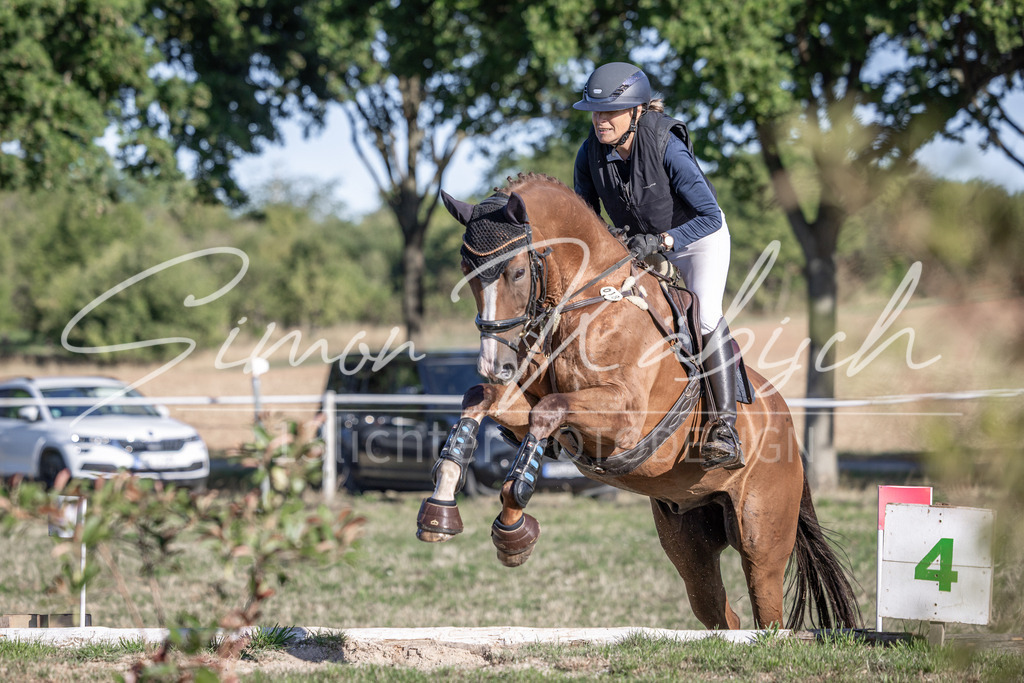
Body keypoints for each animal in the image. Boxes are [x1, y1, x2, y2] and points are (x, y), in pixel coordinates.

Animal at [416, 172, 860, 630]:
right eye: (467, 272)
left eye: (518, 272)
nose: (496, 365)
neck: (587, 305)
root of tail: (791, 431)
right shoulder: (530, 406)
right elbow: (482, 399)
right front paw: (440, 508)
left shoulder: (622, 421)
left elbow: (548, 410)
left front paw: (513, 530)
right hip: (689, 542)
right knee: (721, 614)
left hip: (762, 543)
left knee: (768, 614)